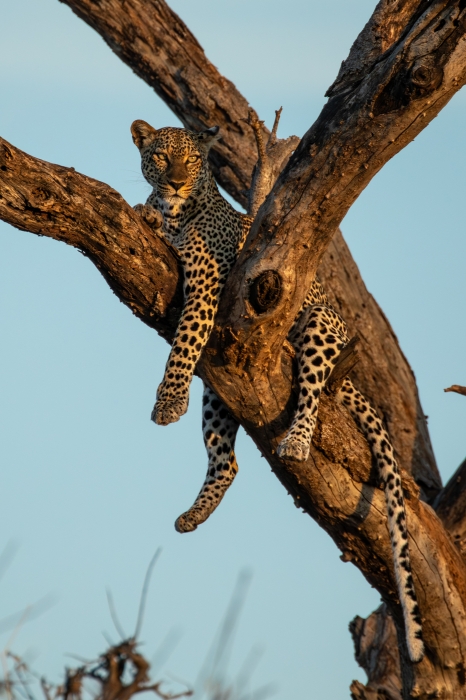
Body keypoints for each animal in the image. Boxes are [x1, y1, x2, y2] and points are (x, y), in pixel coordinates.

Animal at [131, 119, 424, 663]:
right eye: (160, 157)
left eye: (192, 160)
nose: (176, 182)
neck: (179, 212)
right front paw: (146, 208)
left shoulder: (206, 286)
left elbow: (183, 345)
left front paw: (169, 401)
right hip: (221, 390)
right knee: (227, 460)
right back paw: (193, 516)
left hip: (320, 327)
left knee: (309, 393)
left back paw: (297, 441)